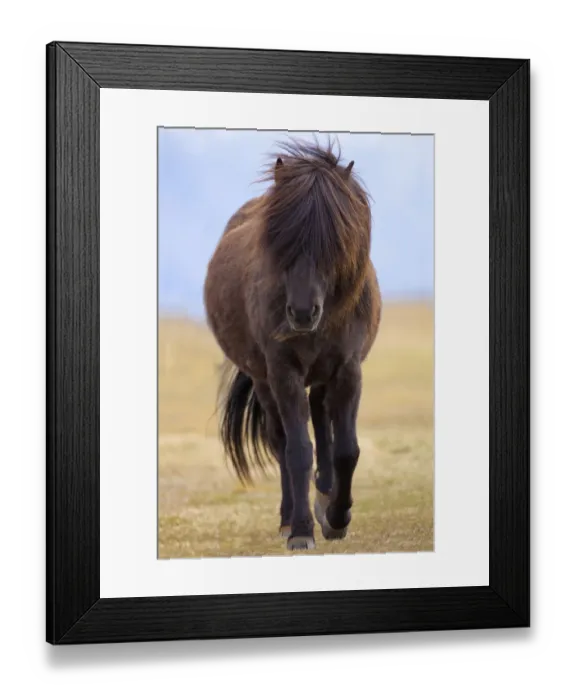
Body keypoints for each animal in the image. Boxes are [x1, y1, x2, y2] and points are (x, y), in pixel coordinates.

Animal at [203, 137, 381, 551]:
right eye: (280, 239)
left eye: (335, 239)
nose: (302, 313)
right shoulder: (283, 372)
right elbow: (298, 450)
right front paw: (301, 529)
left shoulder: (348, 370)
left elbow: (346, 450)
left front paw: (337, 517)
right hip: (266, 382)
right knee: (281, 442)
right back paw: (289, 517)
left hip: (321, 377)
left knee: (321, 418)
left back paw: (326, 493)